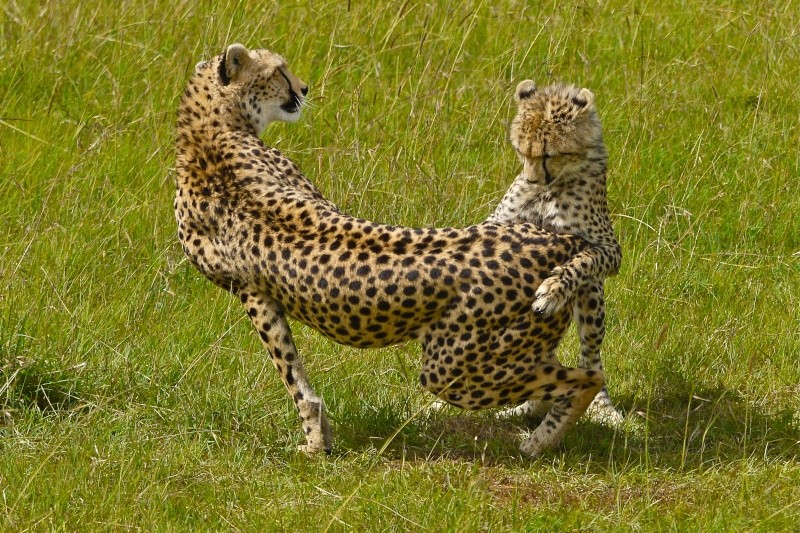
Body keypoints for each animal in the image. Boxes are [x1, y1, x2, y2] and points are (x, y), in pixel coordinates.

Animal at [173, 43, 600, 456]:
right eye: (279, 70)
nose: (304, 88)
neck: (208, 124)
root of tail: (561, 240)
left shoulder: (251, 293)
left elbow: (291, 374)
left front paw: (313, 444)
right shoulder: (263, 287)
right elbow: (295, 371)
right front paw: (321, 436)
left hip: (452, 367)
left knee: (588, 377)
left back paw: (539, 442)